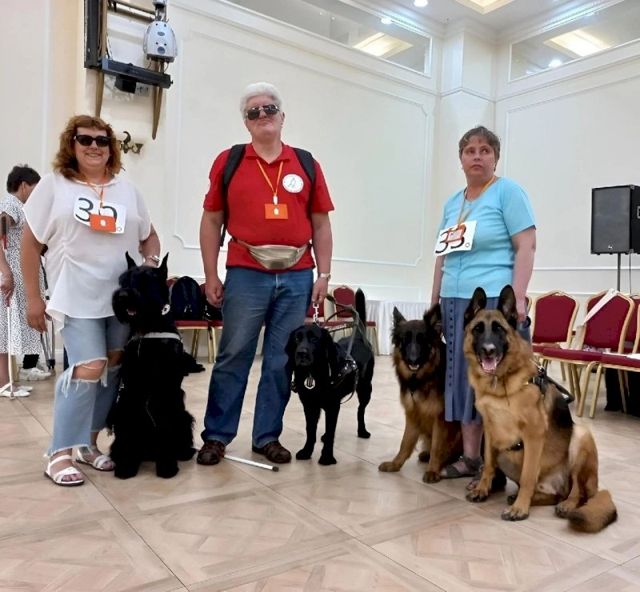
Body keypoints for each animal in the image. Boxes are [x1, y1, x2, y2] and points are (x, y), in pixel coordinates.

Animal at [109, 252, 195, 479]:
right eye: (123, 280)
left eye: (147, 280)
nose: (122, 296)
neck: (148, 329)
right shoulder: (131, 388)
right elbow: (130, 426)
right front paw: (127, 465)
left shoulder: (165, 389)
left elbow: (166, 425)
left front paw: (167, 466)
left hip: (183, 415)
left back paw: (184, 452)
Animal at [286, 289, 374, 465]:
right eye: (297, 338)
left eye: (314, 338)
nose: (301, 354)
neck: (314, 372)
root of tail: (359, 337)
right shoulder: (310, 405)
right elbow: (310, 430)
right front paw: (307, 451)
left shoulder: (332, 405)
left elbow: (331, 430)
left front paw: (327, 457)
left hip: (365, 389)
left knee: (360, 410)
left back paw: (362, 431)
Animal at [378, 305, 462, 483]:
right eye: (405, 339)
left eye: (422, 339)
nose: (413, 360)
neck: (423, 378)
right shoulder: (413, 414)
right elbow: (405, 443)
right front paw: (395, 464)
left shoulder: (440, 419)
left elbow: (437, 446)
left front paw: (433, 470)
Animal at [463, 284, 617, 532]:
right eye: (478, 329)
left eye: (499, 330)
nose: (488, 350)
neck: (500, 383)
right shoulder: (490, 431)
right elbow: (487, 465)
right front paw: (482, 489)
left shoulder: (533, 436)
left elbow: (528, 477)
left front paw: (520, 509)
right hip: (506, 454)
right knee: (556, 494)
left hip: (581, 437)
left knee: (577, 491)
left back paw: (565, 504)